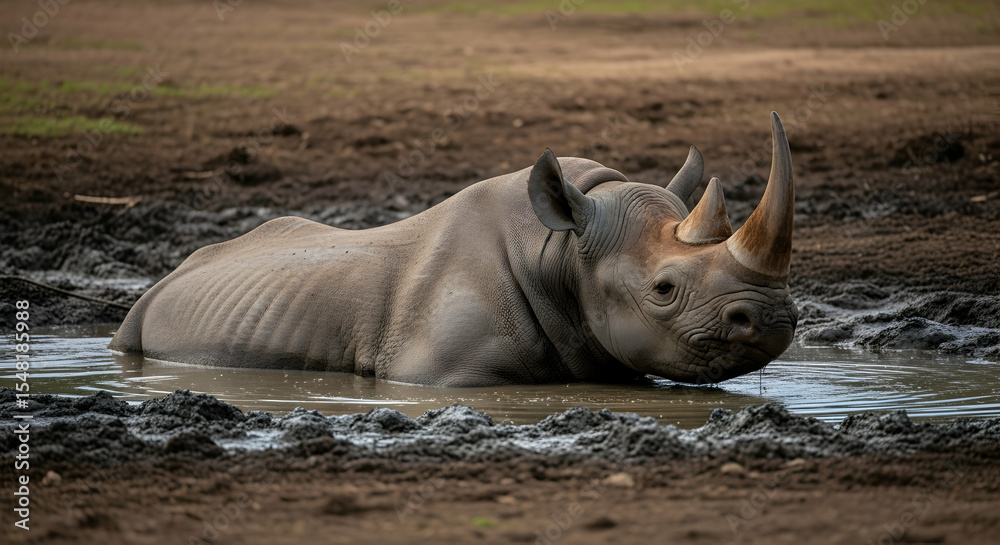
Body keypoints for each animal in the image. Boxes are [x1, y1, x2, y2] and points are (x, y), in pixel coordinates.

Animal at [110, 113, 798, 387]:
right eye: (663, 290)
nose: (774, 320)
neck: (563, 249)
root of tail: (176, 269)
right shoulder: (443, 375)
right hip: (142, 310)